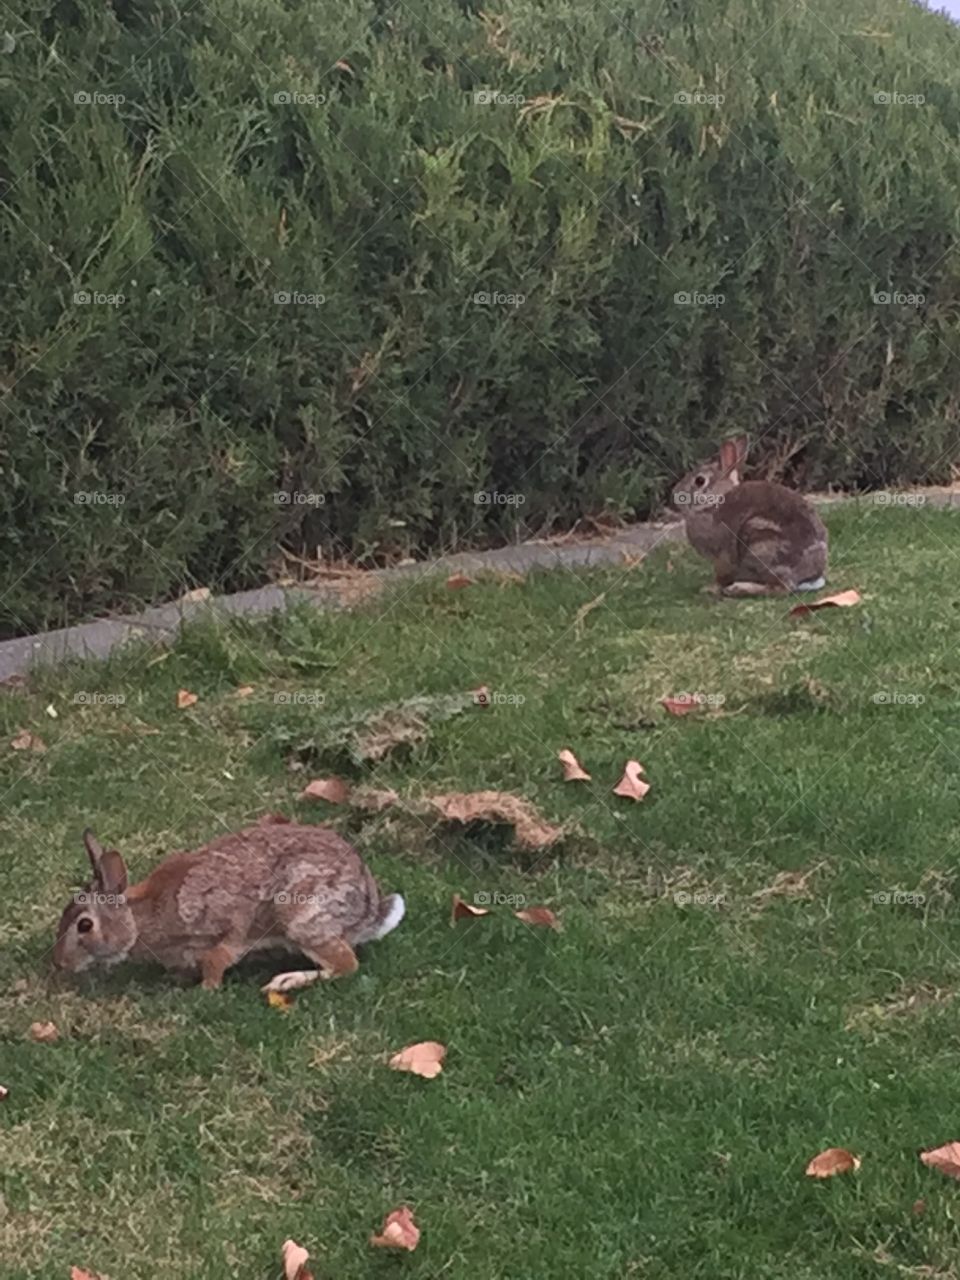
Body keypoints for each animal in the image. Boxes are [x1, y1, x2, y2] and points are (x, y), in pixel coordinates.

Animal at [52, 819, 407, 988]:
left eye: (85, 925)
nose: (59, 964)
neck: (138, 920)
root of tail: (369, 909)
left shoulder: (230, 923)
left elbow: (218, 956)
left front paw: (206, 988)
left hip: (302, 915)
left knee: (345, 965)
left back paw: (285, 981)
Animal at [670, 432, 829, 596]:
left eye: (700, 481)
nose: (674, 492)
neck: (715, 501)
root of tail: (810, 572)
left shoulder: (722, 557)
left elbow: (721, 577)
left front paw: (710, 588)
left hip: (761, 543)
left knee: (781, 588)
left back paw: (738, 588)